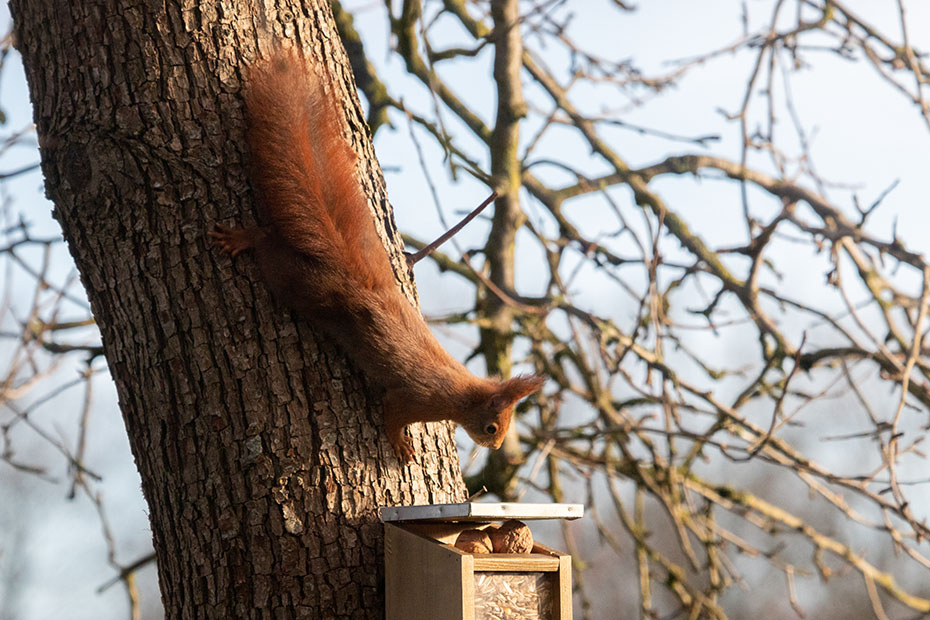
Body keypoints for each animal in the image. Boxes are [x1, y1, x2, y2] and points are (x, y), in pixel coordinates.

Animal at [211, 52, 543, 463]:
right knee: (269, 245)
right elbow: (393, 413)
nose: (495, 446)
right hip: (296, 283)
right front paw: (400, 443)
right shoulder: (416, 399)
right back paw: (244, 237)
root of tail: (353, 276)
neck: (460, 392)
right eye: (493, 427)